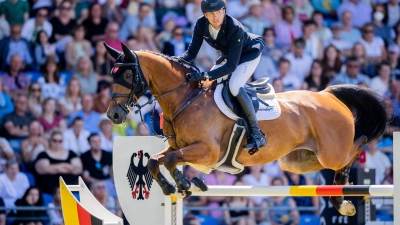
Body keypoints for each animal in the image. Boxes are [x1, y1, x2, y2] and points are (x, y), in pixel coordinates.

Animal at [104, 42, 388, 216]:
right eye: (112, 74)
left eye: (127, 76)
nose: (113, 115)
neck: (186, 98)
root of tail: (328, 95)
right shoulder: (180, 148)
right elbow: (155, 161)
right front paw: (175, 187)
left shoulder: (207, 151)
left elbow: (172, 160)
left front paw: (185, 183)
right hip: (299, 162)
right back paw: (340, 198)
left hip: (332, 152)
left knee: (358, 143)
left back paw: (344, 195)